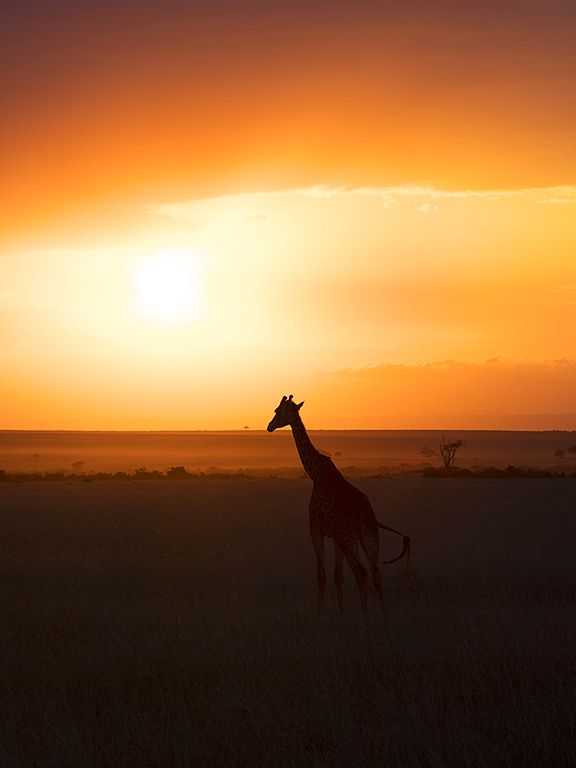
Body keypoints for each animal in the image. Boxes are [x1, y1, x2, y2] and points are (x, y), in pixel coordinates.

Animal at [267, 395, 410, 613]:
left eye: (277, 411)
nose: (269, 426)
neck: (316, 473)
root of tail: (366, 515)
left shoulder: (316, 529)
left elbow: (322, 576)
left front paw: (319, 614)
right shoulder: (335, 536)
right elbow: (338, 577)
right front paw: (341, 613)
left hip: (349, 537)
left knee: (362, 572)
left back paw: (365, 615)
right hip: (369, 536)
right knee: (376, 574)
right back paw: (383, 615)